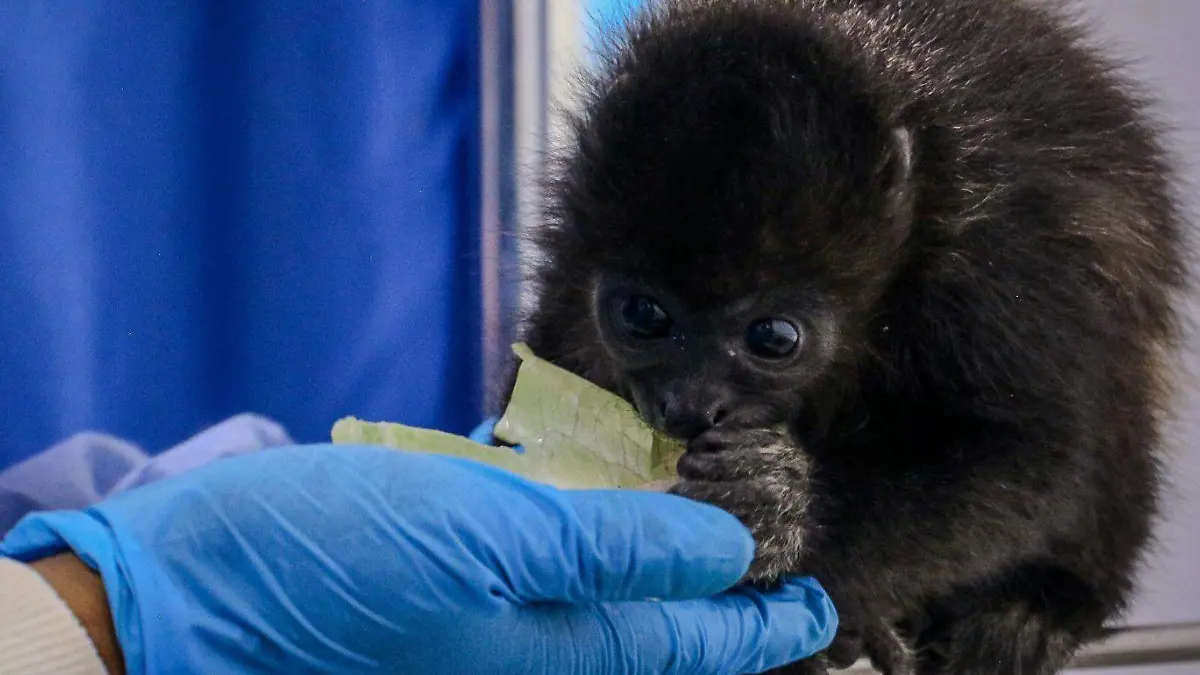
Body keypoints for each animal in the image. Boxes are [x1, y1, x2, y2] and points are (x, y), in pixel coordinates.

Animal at [491, 0, 1190, 673]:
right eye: (643, 316)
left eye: (774, 338)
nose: (690, 405)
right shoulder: (578, 243)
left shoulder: (1002, 250)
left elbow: (1034, 452)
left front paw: (783, 509)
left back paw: (1040, 609)